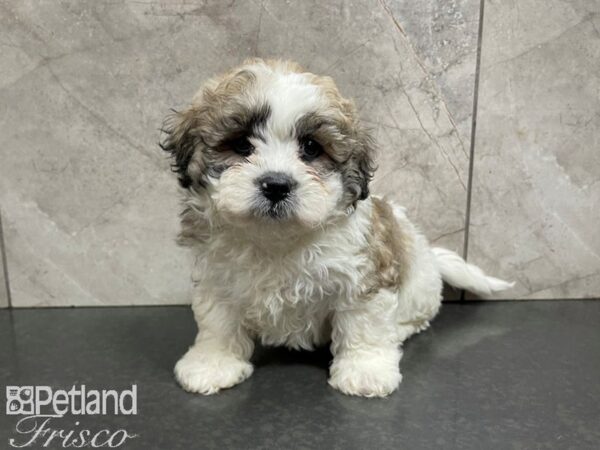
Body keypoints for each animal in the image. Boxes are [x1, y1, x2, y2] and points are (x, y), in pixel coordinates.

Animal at [159, 59, 510, 398]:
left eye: (312, 148)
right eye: (242, 145)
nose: (276, 185)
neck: (277, 239)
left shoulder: (365, 275)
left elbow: (364, 325)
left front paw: (366, 371)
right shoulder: (218, 278)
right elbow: (218, 322)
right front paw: (212, 363)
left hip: (418, 290)